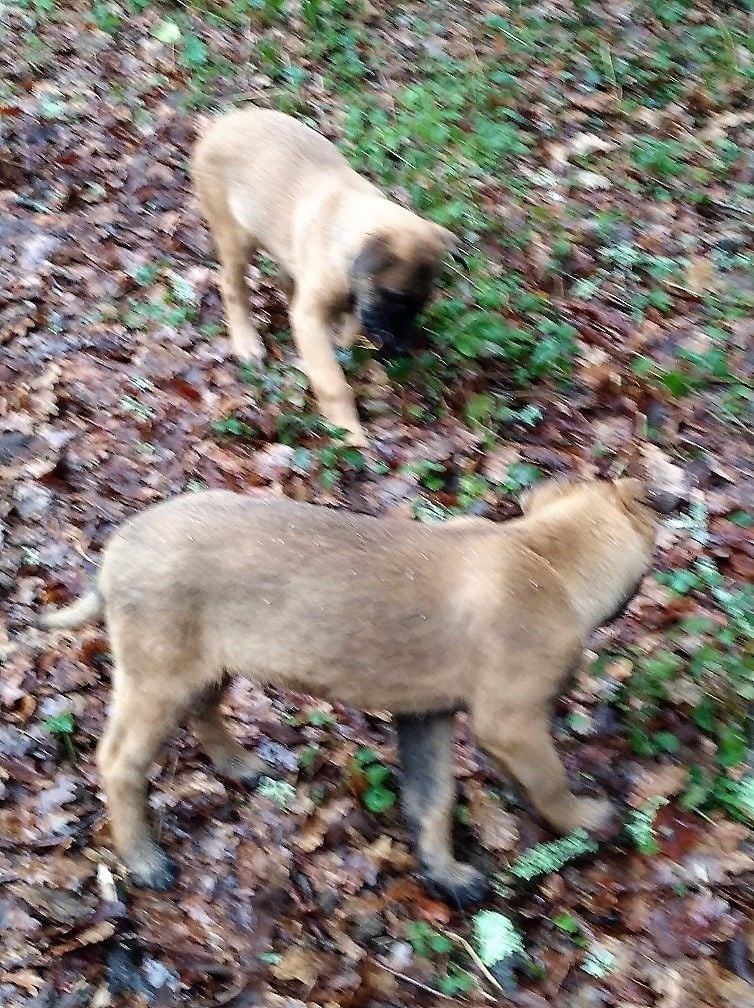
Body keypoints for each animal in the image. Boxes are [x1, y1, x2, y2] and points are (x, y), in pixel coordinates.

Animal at [39, 477, 678, 904]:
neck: (546, 557)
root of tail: (115, 552)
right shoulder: (512, 720)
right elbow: (549, 781)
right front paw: (585, 819)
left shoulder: (427, 715)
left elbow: (431, 800)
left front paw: (445, 873)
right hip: (157, 676)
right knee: (120, 761)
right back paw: (144, 860)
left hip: (205, 665)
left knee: (204, 711)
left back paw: (239, 765)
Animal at [191, 107, 454, 445]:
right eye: (396, 299)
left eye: (421, 304)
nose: (401, 349)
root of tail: (220, 123)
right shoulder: (311, 318)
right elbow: (333, 382)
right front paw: (349, 433)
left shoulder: (355, 304)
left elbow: (349, 331)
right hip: (237, 236)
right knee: (232, 285)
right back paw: (247, 343)